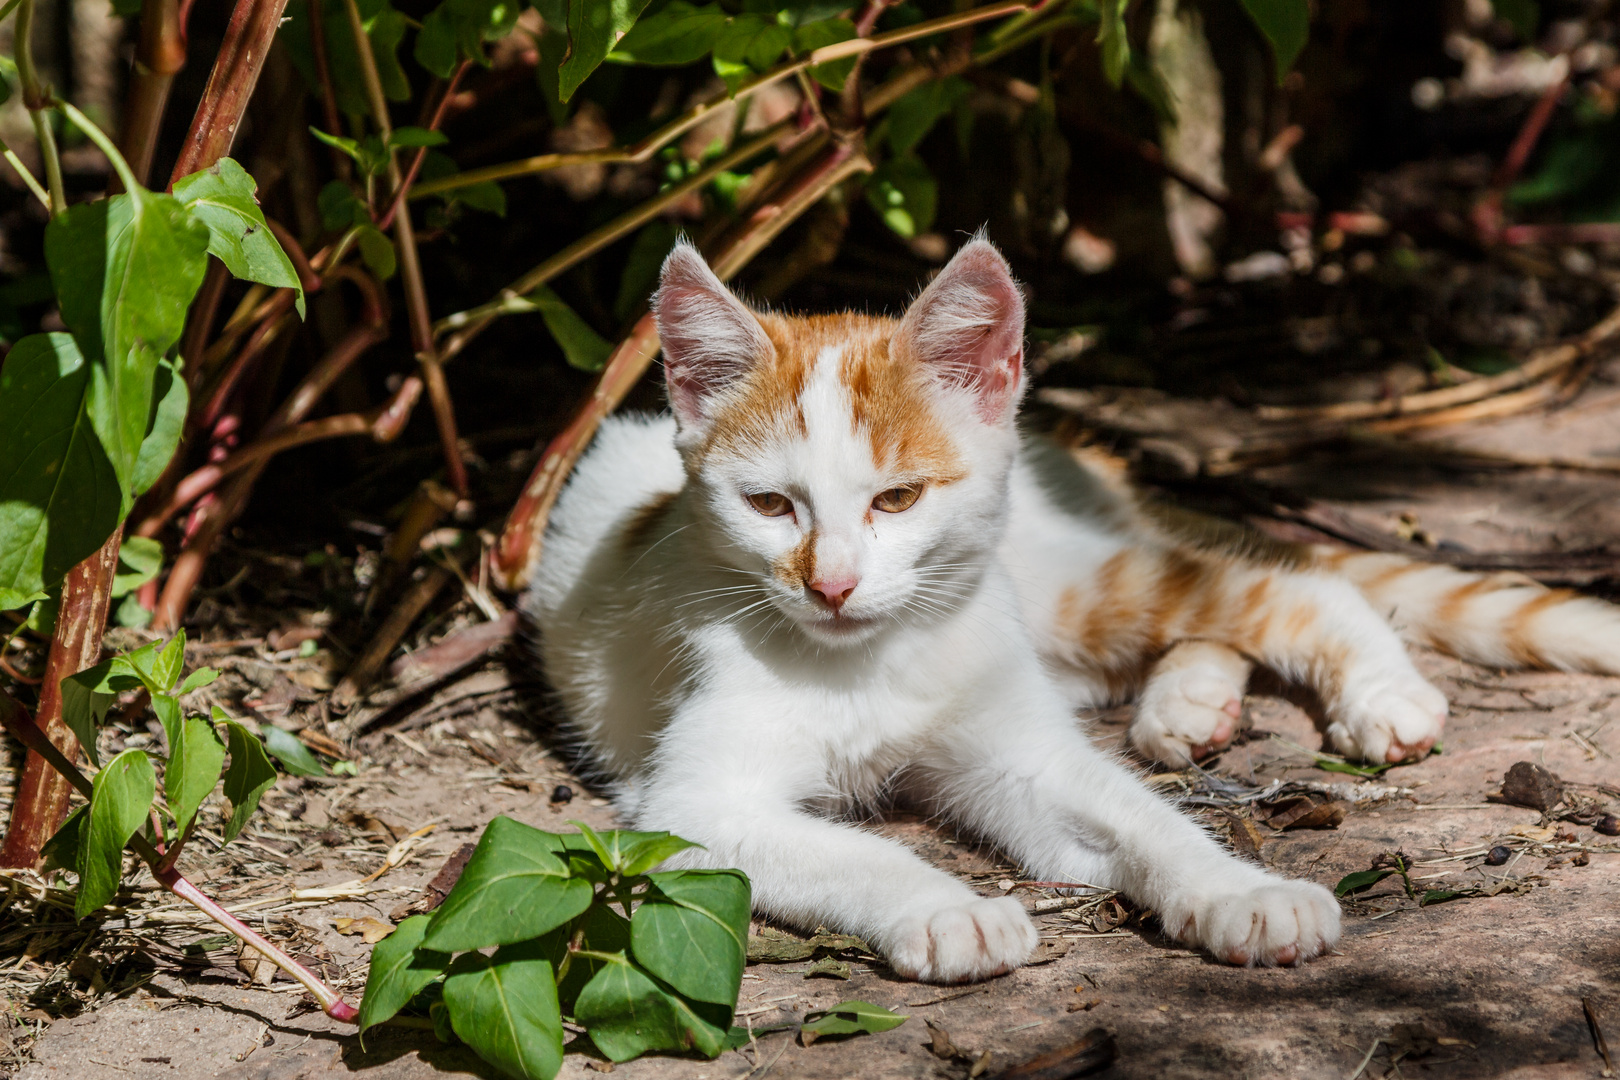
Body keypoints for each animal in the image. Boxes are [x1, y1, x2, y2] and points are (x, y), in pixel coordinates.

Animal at [528, 236, 1620, 977]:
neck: (872, 662)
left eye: (897, 499)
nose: (831, 584)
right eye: (770, 506)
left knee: (1285, 583)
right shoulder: (689, 809)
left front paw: (1244, 890)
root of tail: (1072, 449)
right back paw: (1191, 706)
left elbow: (1139, 817)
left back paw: (1376, 696)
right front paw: (950, 910)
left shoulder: (1020, 747)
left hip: (1056, 584)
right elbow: (845, 848)